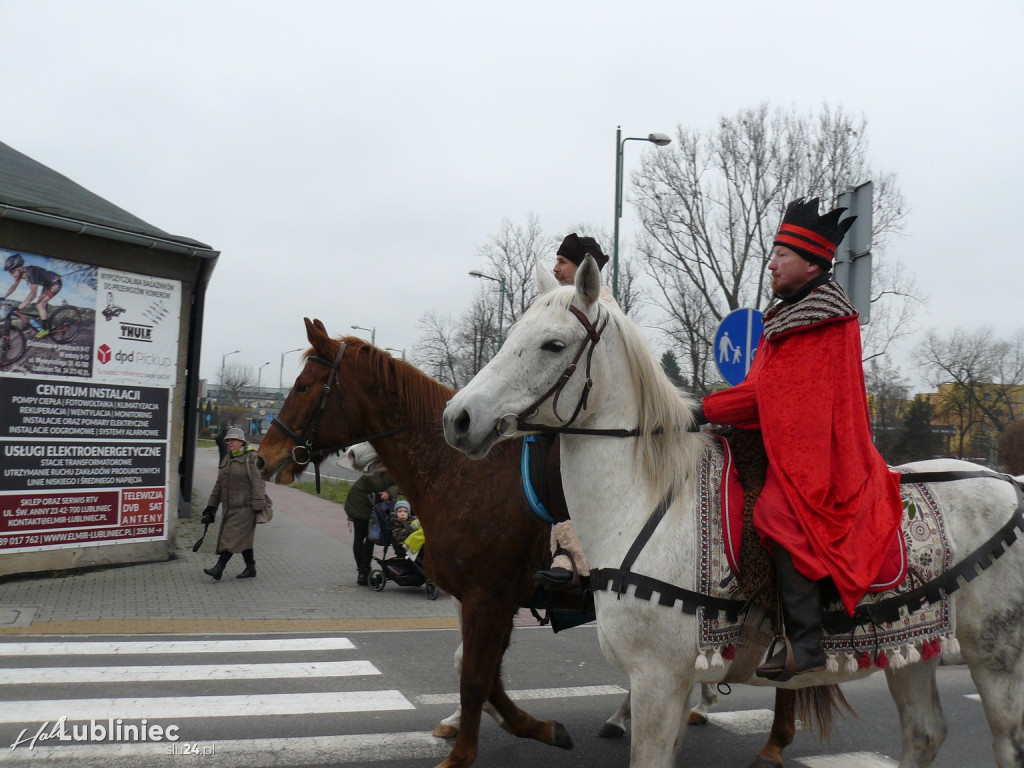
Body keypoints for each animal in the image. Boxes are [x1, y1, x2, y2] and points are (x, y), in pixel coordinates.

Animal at [256, 319, 806, 768]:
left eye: (303, 386)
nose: (264, 458)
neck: (460, 473)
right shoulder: (486, 599)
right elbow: (476, 668)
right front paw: (511, 726)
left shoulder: (489, 596)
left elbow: (477, 675)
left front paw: (474, 747)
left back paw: (772, 740)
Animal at [444, 259, 1024, 768]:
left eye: (553, 344)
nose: (457, 418)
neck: (646, 504)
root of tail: (1011, 483)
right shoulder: (671, 684)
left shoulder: (656, 680)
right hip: (914, 649)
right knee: (925, 734)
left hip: (998, 657)